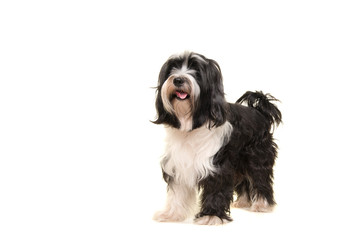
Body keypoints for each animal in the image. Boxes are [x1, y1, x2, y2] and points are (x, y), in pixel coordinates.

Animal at [152, 51, 282, 225]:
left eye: (197, 71)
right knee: (245, 181)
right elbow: (177, 192)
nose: (178, 79)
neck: (192, 125)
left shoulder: (217, 164)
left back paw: (262, 204)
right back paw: (243, 201)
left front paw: (211, 215)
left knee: (260, 179)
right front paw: (171, 214)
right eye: (173, 68)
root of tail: (259, 112)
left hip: (257, 159)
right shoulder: (178, 162)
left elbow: (216, 188)